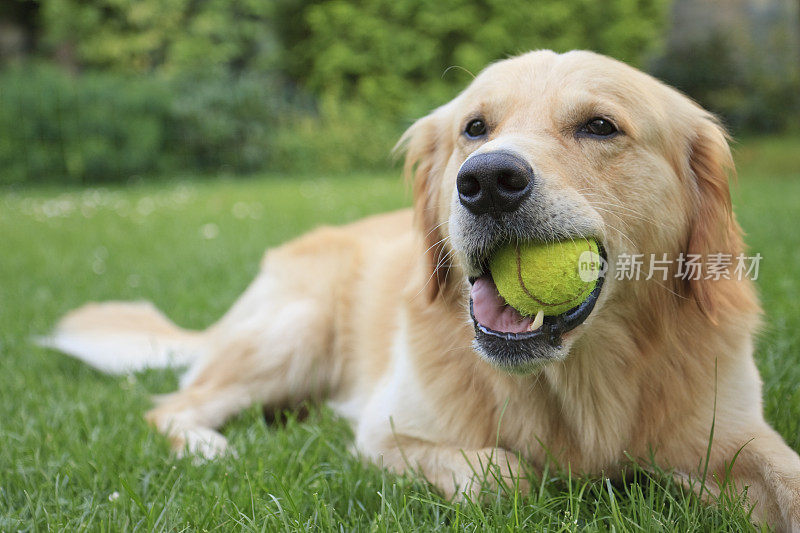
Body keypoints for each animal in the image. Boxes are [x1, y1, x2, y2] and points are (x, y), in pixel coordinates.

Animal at [45, 48, 800, 528]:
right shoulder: (387, 434)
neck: (580, 379)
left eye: (599, 126)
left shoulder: (736, 431)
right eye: (475, 128)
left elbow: (785, 478)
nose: (487, 180)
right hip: (294, 332)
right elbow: (505, 475)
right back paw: (210, 446)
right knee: (173, 406)